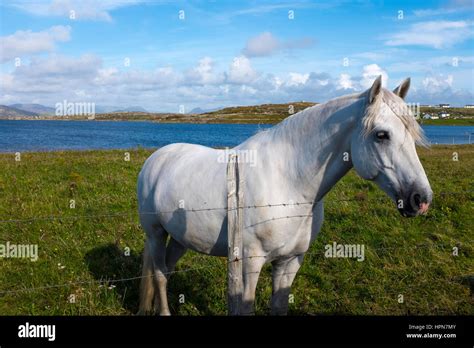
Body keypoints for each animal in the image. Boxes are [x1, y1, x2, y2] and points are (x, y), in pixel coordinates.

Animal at [136, 76, 434, 316]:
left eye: (412, 134)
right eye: (381, 135)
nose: (421, 198)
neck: (289, 182)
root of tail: (157, 159)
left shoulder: (290, 261)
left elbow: (278, 306)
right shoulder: (249, 262)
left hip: (180, 238)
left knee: (167, 270)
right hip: (156, 234)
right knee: (160, 275)